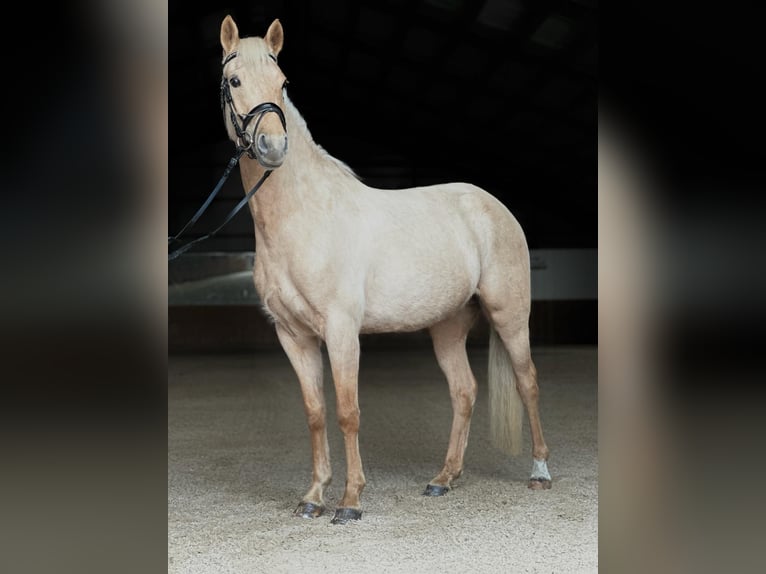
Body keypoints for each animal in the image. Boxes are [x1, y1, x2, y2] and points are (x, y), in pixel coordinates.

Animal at [218, 15, 552, 528]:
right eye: (234, 81)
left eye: (283, 82)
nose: (272, 148)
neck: (304, 215)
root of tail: (493, 206)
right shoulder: (293, 336)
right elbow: (315, 412)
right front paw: (313, 496)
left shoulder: (341, 332)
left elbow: (347, 411)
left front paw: (350, 502)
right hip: (448, 327)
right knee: (464, 391)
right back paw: (443, 479)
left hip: (510, 315)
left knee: (527, 382)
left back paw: (539, 473)